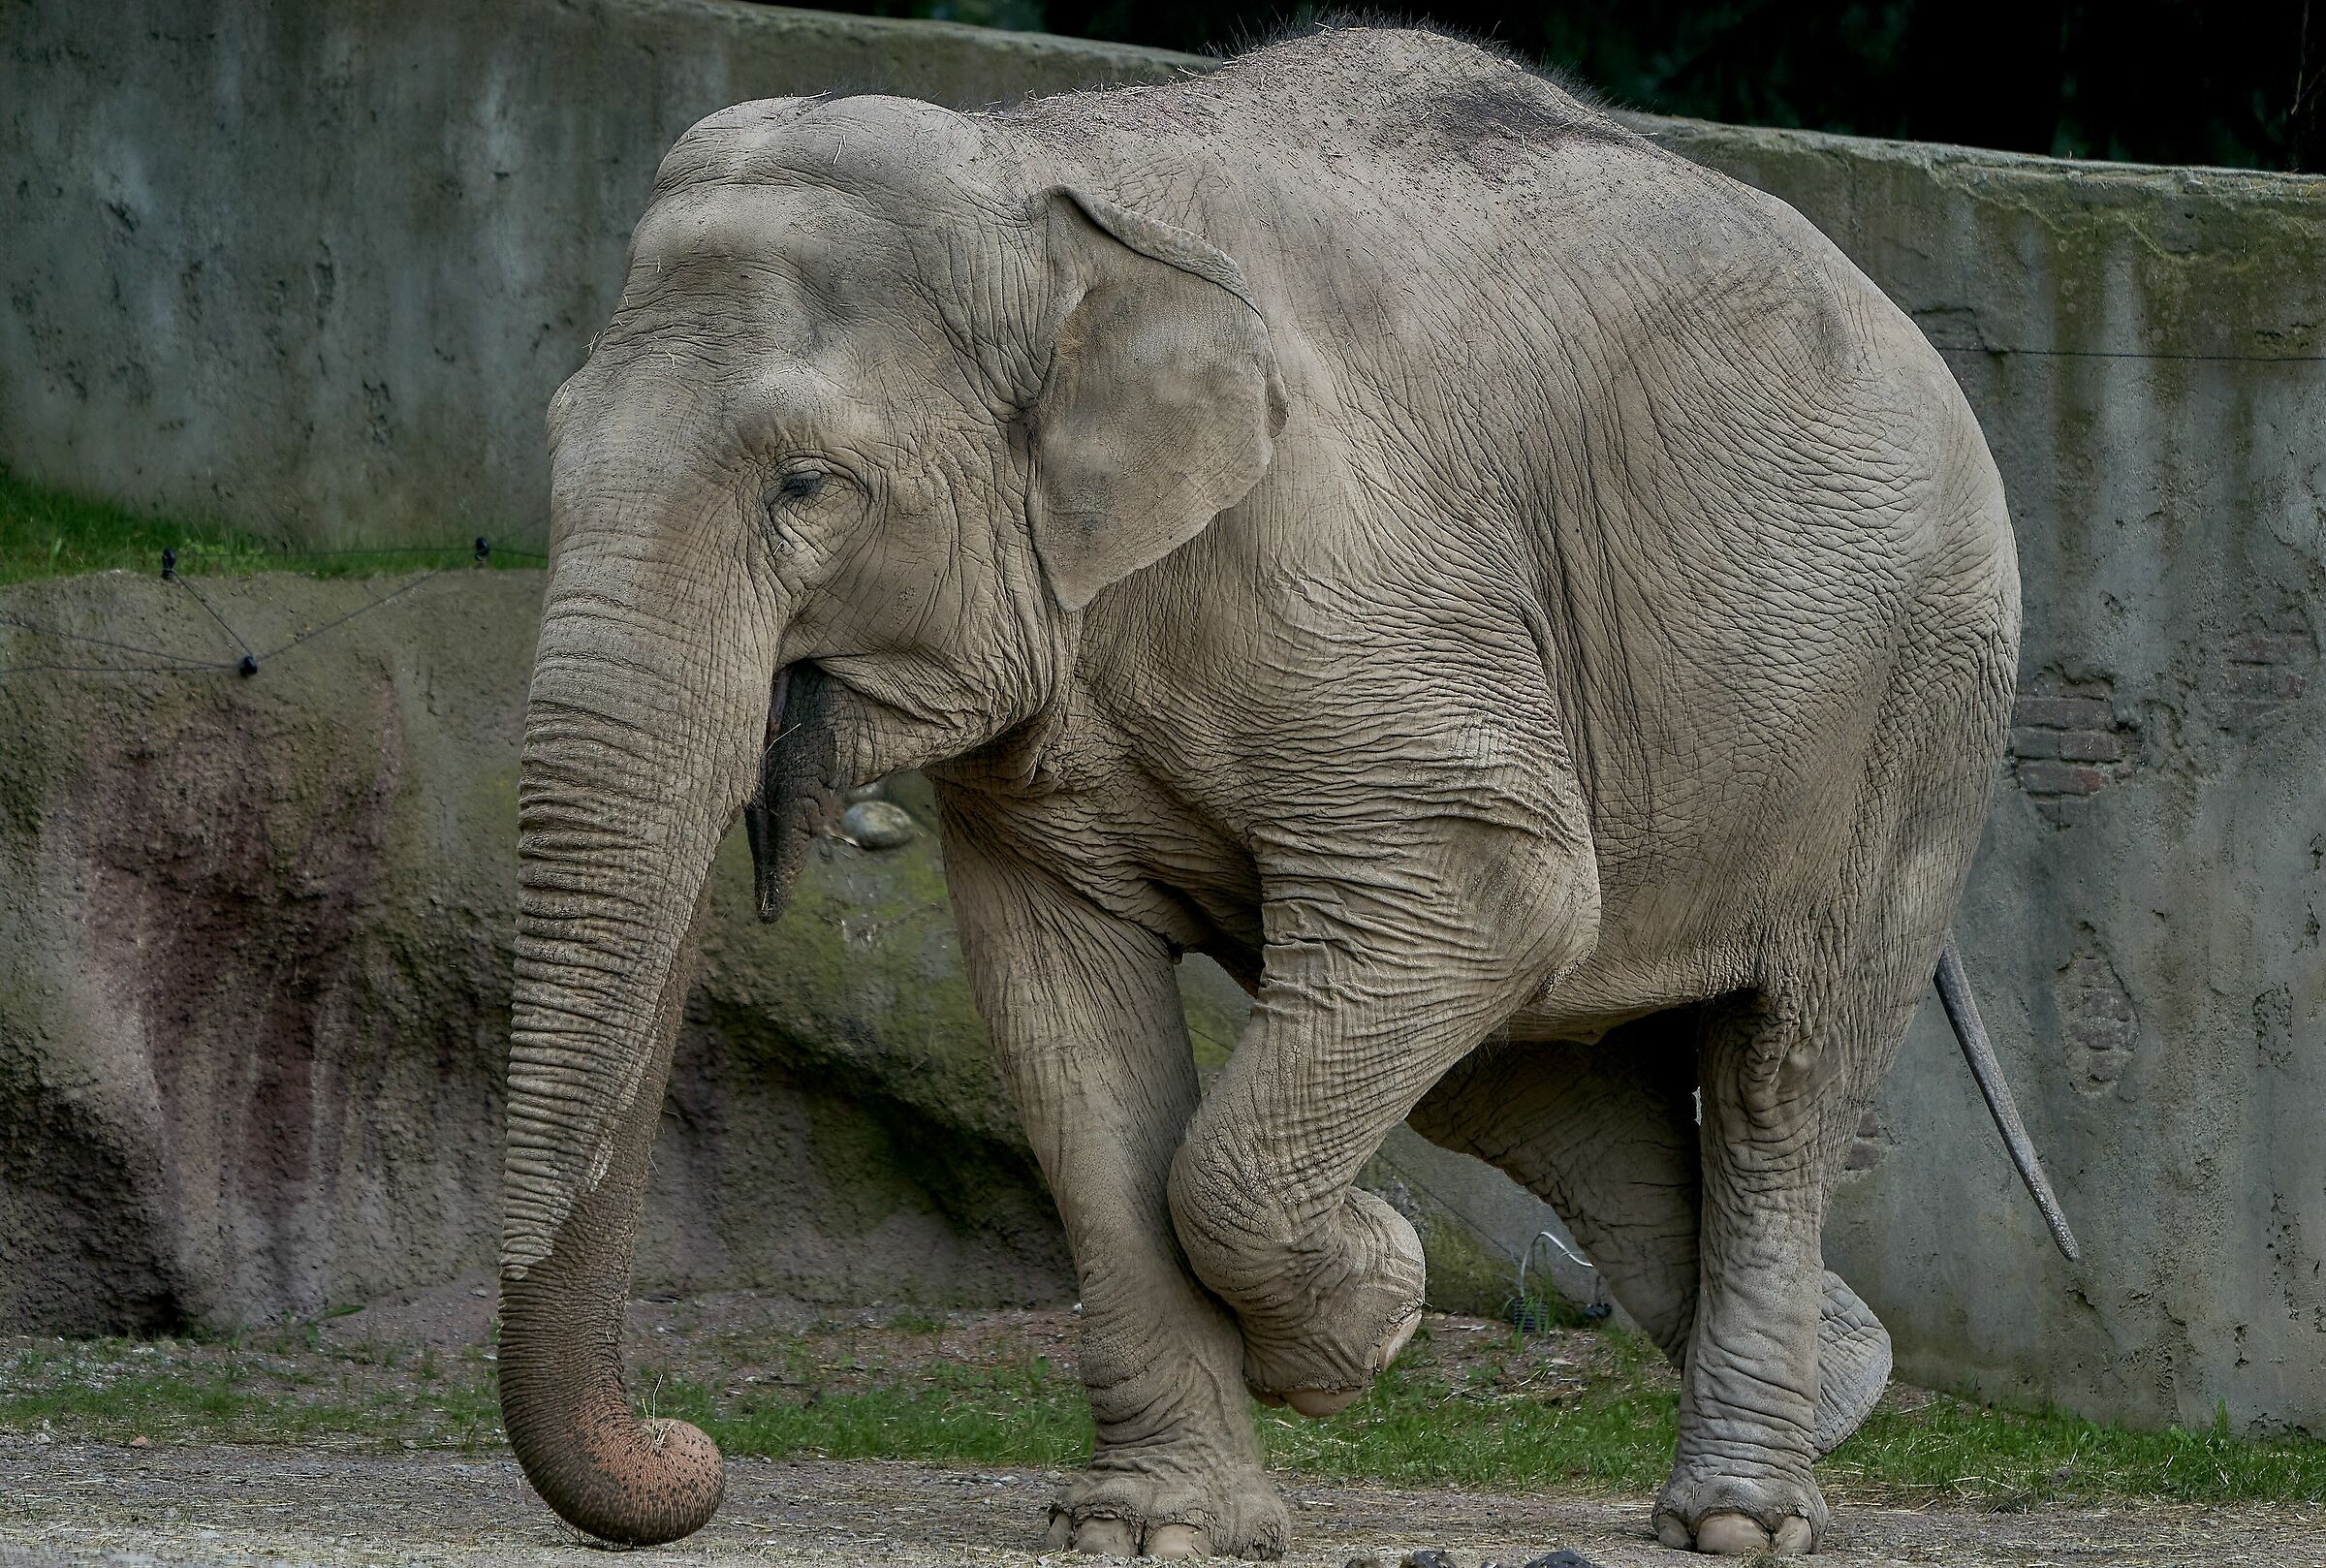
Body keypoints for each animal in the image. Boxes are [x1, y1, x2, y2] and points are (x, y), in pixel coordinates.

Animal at [497, 23, 2074, 1561]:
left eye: (807, 486)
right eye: (554, 441)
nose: (692, 1456)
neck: (1043, 176)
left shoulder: (1353, 579)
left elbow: (1486, 891)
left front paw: (1368, 1320)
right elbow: (1063, 1017)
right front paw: (1152, 1525)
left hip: (1913, 719)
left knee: (1776, 1068)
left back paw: (1742, 1516)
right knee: (1536, 1076)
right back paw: (1849, 1382)